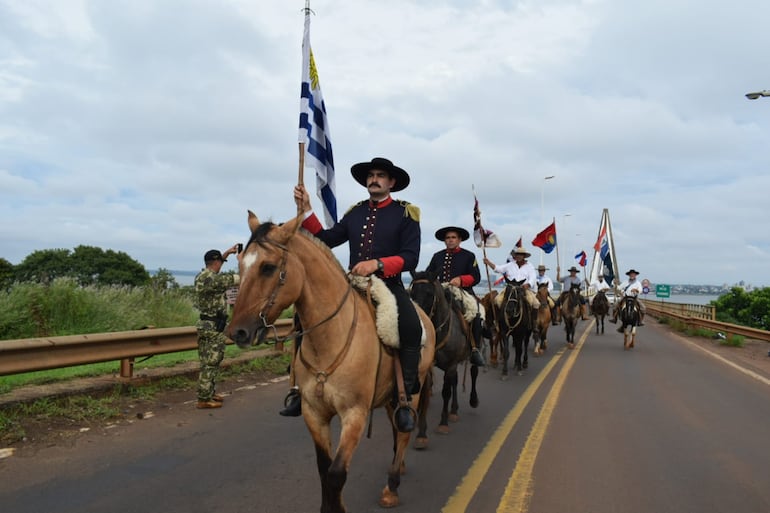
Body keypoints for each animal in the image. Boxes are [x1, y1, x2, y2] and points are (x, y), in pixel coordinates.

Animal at [226, 212, 432, 512]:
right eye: (241, 265)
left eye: (268, 267)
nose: (237, 332)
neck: (330, 337)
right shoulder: (314, 413)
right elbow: (324, 469)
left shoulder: (355, 414)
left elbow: (336, 473)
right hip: (390, 396)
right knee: (396, 428)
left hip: (412, 392)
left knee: (404, 431)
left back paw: (392, 486)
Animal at [412, 270, 476, 442]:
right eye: (412, 292)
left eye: (429, 293)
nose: (419, 320)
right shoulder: (429, 368)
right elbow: (425, 393)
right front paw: (421, 433)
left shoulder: (451, 365)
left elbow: (445, 392)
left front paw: (443, 423)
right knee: (454, 382)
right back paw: (453, 410)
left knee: (473, 373)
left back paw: (473, 400)